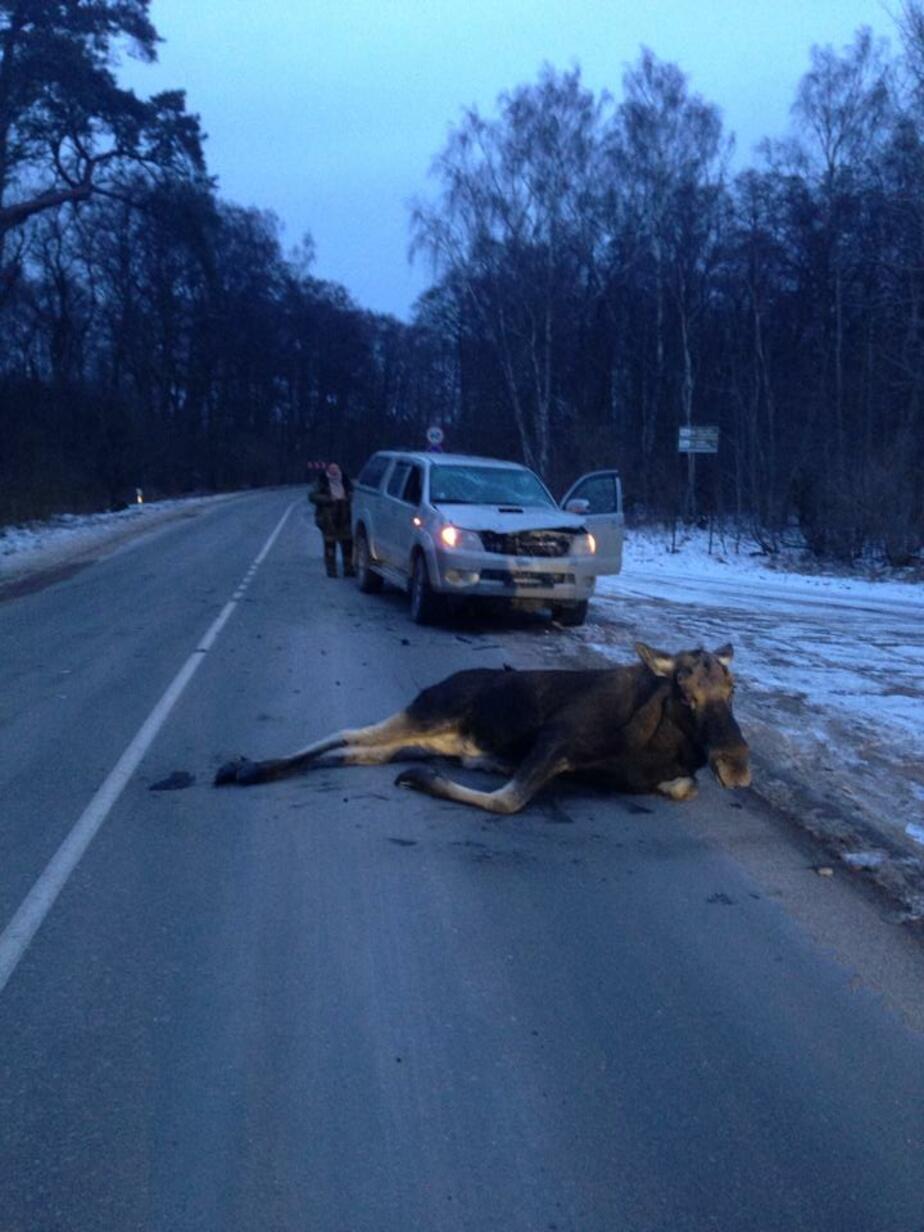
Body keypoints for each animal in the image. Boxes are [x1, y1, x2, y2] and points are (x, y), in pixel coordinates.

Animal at [211, 645, 753, 818]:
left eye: (733, 689)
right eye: (685, 691)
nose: (737, 764)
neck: (662, 747)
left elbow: (685, 786)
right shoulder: (558, 735)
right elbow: (507, 801)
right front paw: (424, 782)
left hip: (421, 739)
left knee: (359, 751)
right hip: (430, 711)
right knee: (348, 731)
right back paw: (247, 768)